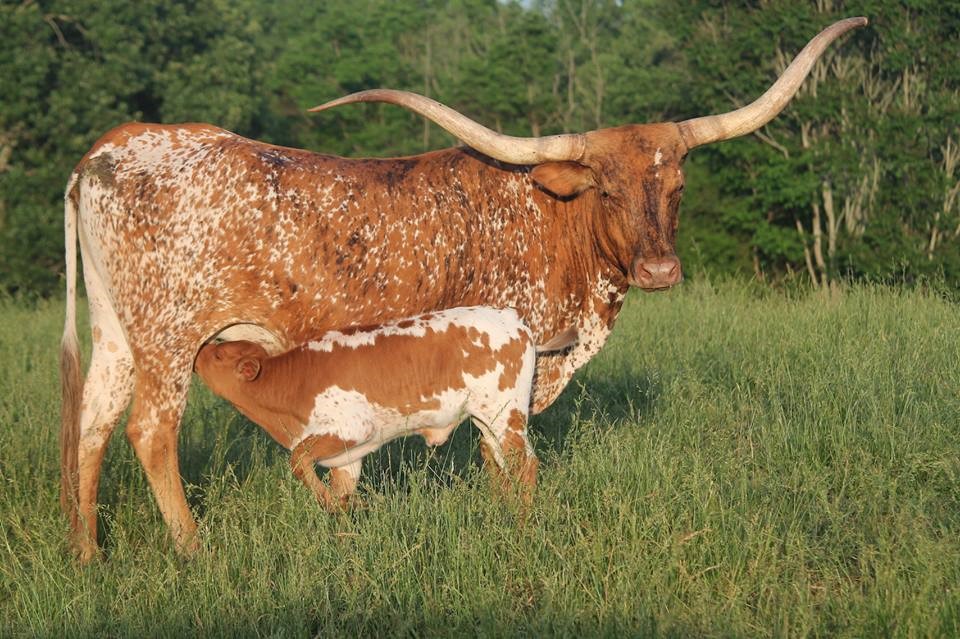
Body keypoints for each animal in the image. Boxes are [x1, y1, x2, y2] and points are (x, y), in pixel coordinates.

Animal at [194, 307, 575, 510]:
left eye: (220, 355)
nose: (200, 349)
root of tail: (514, 320)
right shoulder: (347, 458)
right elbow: (341, 496)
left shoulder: (352, 428)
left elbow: (298, 459)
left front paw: (330, 504)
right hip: (489, 419)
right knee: (500, 462)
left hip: (506, 414)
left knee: (524, 464)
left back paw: (522, 521)